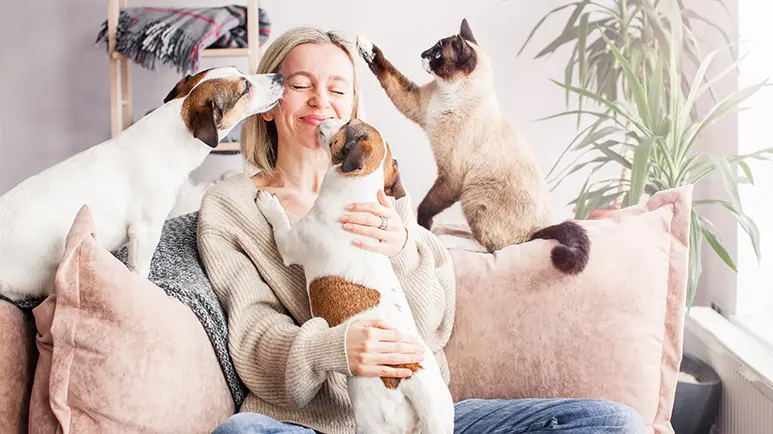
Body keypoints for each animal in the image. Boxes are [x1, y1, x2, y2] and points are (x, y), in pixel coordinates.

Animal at [256, 118, 456, 434]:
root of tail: (412, 375)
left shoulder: (289, 243)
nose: (327, 118)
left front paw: (270, 204)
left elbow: (280, 223)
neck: (354, 192)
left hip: (372, 418)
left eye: (348, 123)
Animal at [358, 19, 592, 274]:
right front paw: (366, 47)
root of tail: (537, 231)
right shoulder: (415, 104)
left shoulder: (450, 177)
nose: (422, 54)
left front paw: (425, 228)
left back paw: (449, 239)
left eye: (437, 54)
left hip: (473, 195)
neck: (447, 95)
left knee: (492, 248)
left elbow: (425, 207)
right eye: (432, 48)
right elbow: (388, 73)